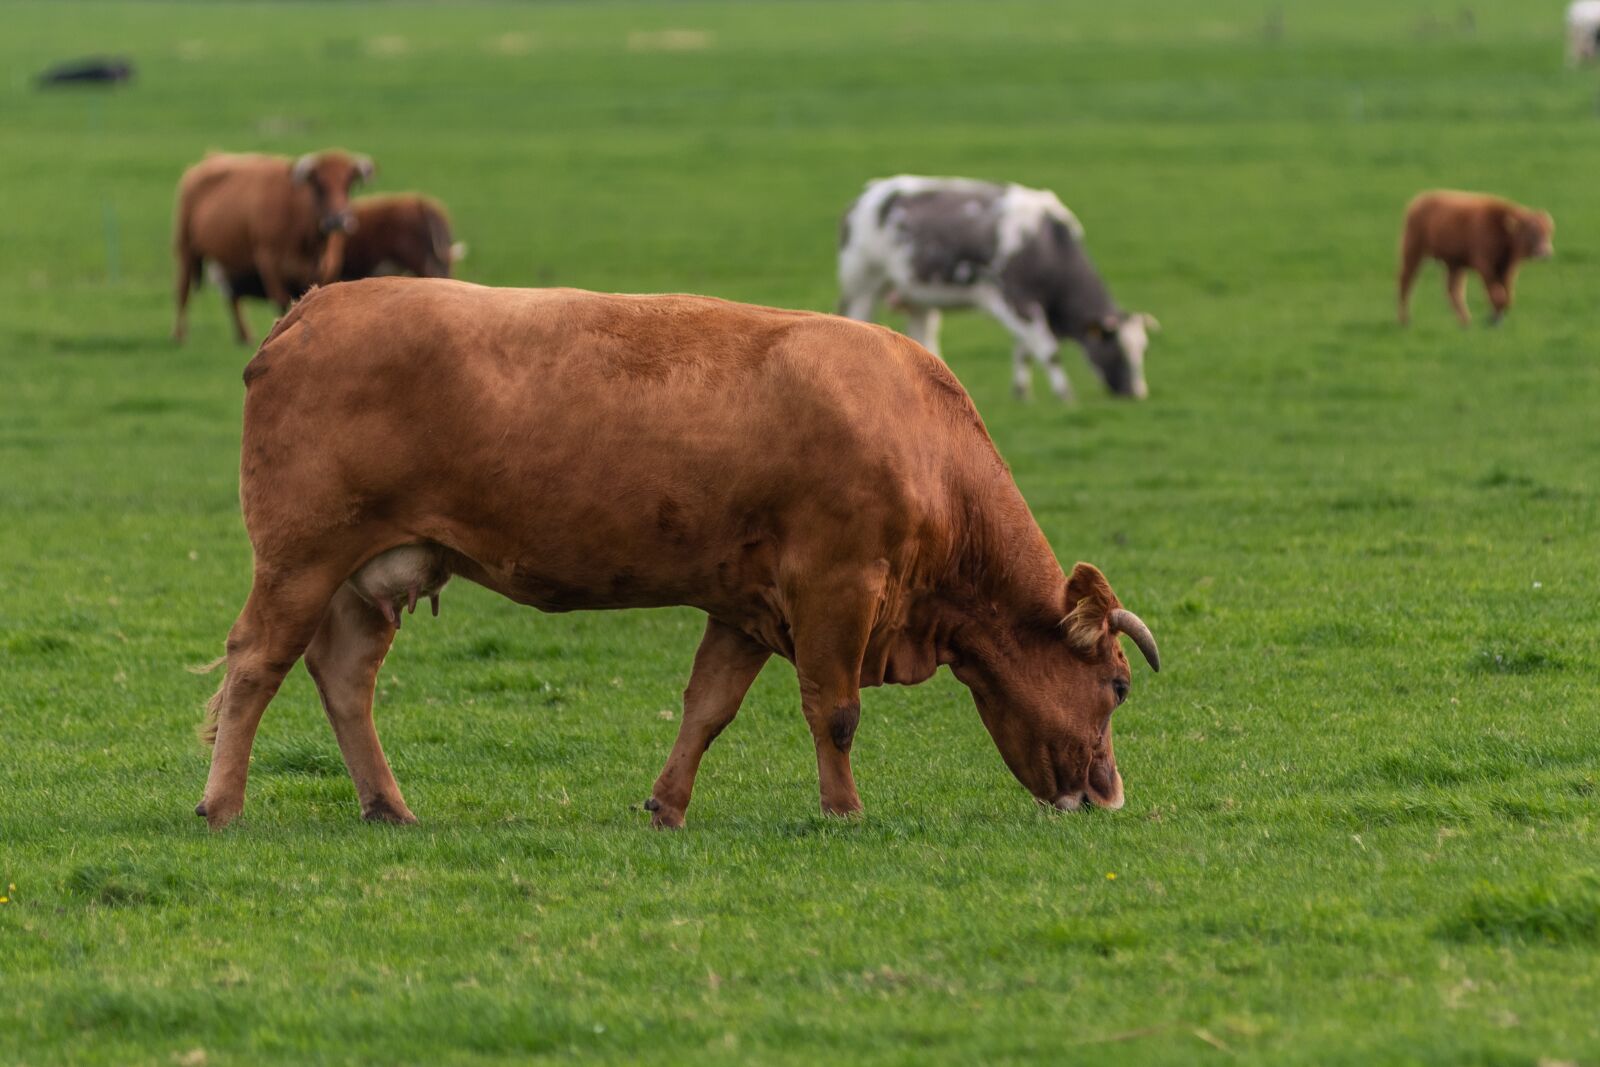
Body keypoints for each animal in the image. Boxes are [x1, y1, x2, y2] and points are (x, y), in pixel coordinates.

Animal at [172, 149, 374, 345]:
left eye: (348, 184)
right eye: (318, 186)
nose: (338, 220)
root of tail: (211, 158)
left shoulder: (325, 268)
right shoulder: (269, 261)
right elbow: (282, 301)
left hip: (229, 257)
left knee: (233, 296)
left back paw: (244, 335)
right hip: (185, 248)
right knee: (183, 290)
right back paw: (180, 336)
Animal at [194, 279, 1161, 831]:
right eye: (1116, 686)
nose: (1110, 794)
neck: (923, 440)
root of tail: (315, 304)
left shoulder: (746, 605)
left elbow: (708, 708)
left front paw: (667, 803)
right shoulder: (836, 587)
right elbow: (835, 711)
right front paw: (844, 810)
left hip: (367, 573)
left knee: (343, 676)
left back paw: (388, 804)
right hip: (301, 558)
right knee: (257, 663)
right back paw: (223, 802)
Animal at [837, 175, 1159, 402]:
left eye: (1143, 349)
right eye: (1116, 348)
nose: (1137, 393)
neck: (1048, 244)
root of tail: (865, 196)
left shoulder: (1027, 307)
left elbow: (1025, 350)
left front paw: (1023, 394)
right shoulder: (1017, 299)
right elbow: (1048, 350)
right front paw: (1066, 396)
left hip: (917, 297)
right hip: (862, 286)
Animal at [1397, 191, 1554, 327]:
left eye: (1548, 232)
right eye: (1532, 232)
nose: (1546, 253)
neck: (1501, 228)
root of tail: (1419, 201)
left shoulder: (1506, 269)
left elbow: (1507, 295)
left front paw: (1496, 317)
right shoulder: (1485, 266)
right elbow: (1496, 293)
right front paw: (1494, 320)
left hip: (1454, 265)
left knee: (1453, 291)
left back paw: (1465, 322)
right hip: (1413, 252)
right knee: (1406, 282)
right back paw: (1405, 321)